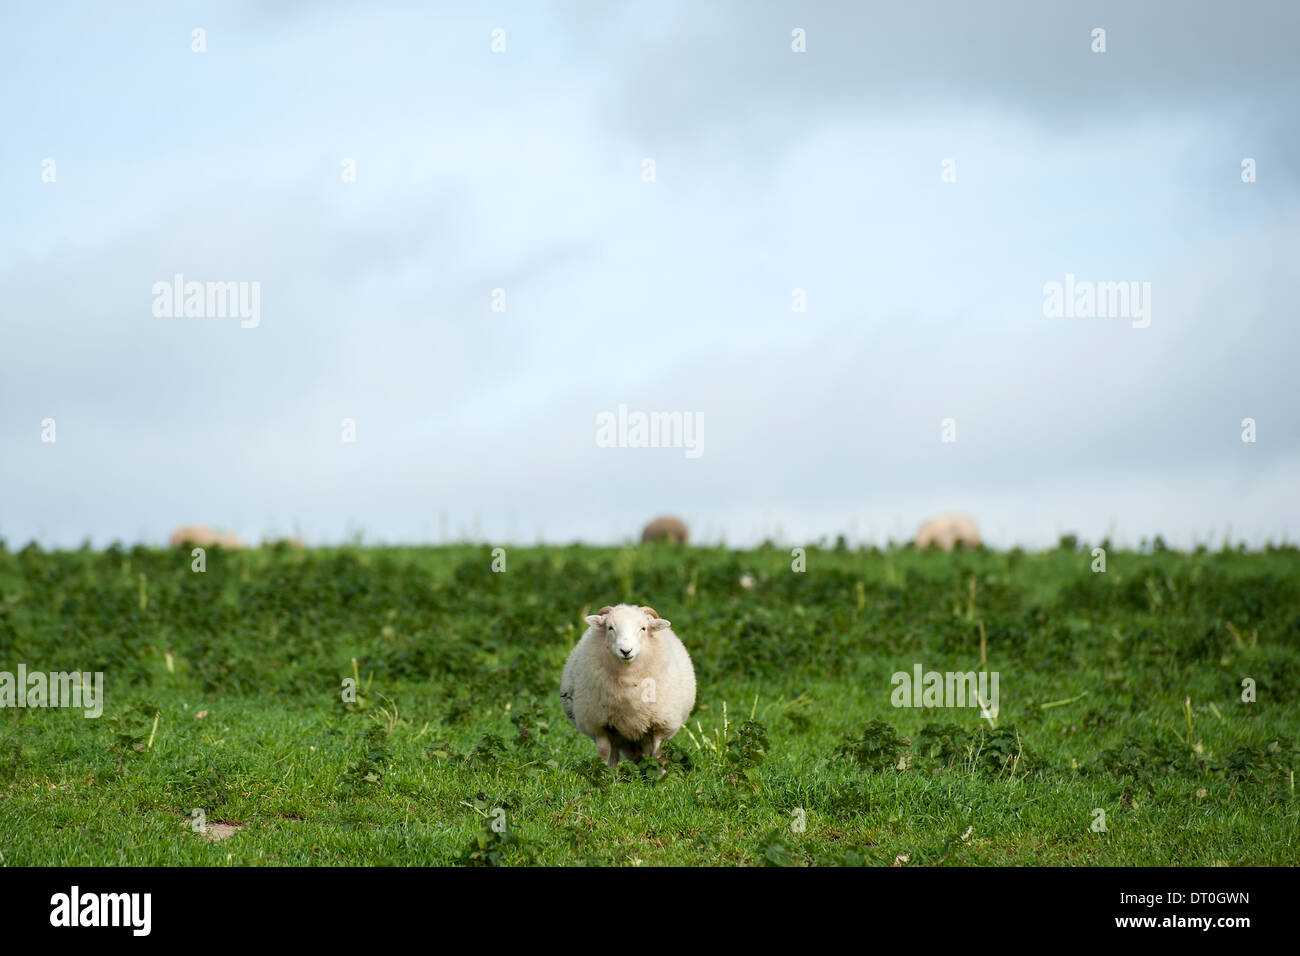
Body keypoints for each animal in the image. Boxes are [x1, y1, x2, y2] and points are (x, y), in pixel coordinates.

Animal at [561, 606, 696, 770]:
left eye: (643, 628)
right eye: (610, 627)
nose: (626, 651)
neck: (628, 681)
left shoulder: (661, 726)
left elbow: (658, 755)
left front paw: (662, 775)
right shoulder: (599, 725)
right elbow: (604, 753)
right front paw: (603, 773)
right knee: (615, 755)